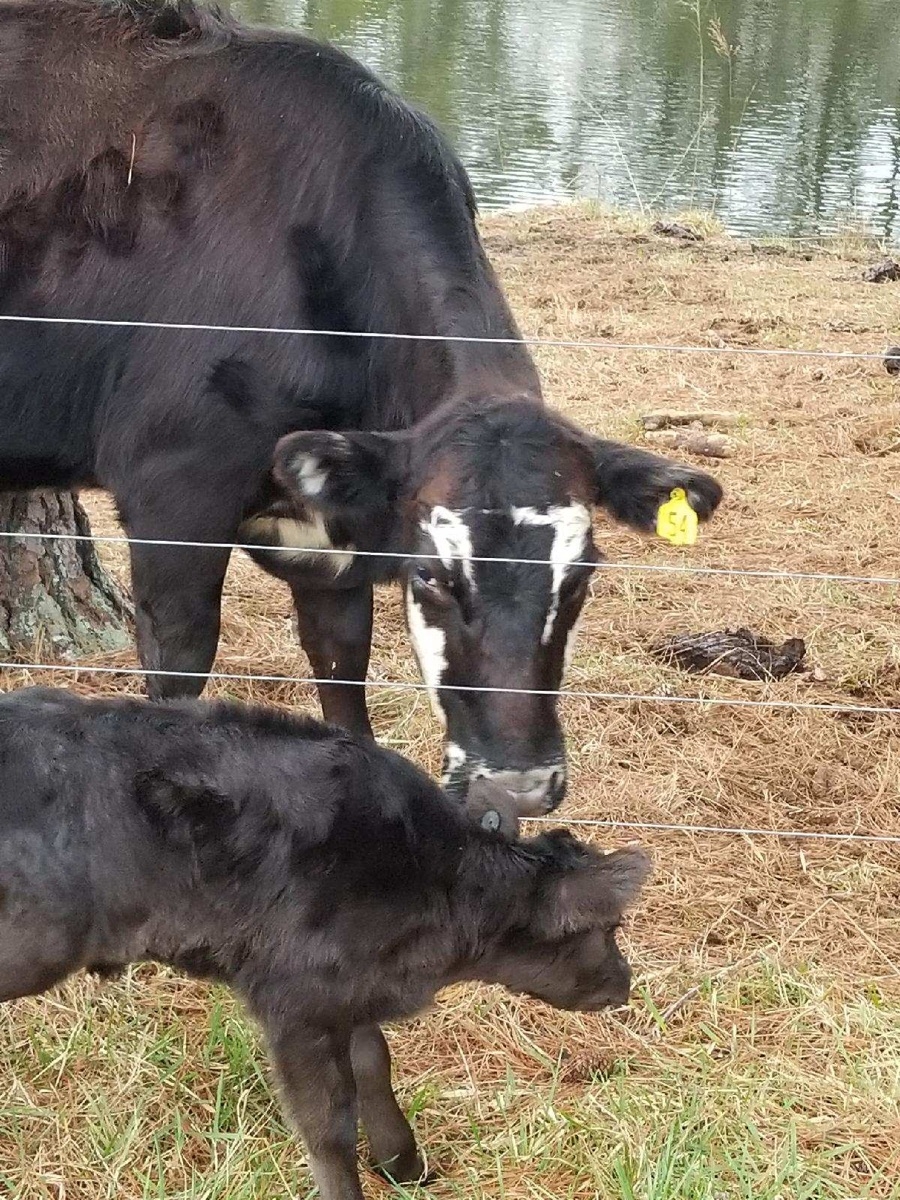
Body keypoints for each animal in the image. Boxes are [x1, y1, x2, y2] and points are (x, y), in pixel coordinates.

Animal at [0, 0, 724, 811]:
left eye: (583, 574)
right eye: (433, 576)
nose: (517, 785)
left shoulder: (333, 551)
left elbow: (345, 689)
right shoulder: (172, 494)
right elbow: (179, 679)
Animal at [0, 686, 652, 1200]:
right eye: (608, 929)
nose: (624, 983)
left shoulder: (345, 987)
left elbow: (373, 1061)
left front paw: (403, 1163)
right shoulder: (295, 1004)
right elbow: (328, 1126)